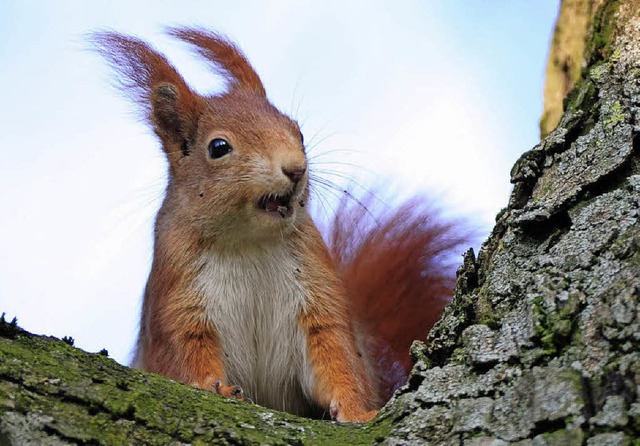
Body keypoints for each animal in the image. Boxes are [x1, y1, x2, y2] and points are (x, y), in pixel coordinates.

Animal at [92, 27, 468, 422]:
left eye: (297, 131)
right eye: (218, 147)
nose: (296, 169)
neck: (249, 242)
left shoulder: (317, 292)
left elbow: (336, 355)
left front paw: (356, 411)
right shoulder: (178, 297)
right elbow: (185, 355)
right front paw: (214, 386)